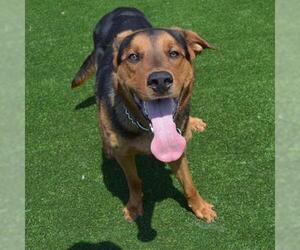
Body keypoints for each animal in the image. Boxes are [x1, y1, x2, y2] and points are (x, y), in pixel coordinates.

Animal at [72, 7, 218, 223]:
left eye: (174, 53)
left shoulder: (178, 150)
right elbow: (133, 181)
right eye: (133, 57)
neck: (149, 129)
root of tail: (120, 8)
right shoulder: (124, 154)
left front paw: (200, 206)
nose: (160, 80)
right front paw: (134, 206)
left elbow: (189, 183)